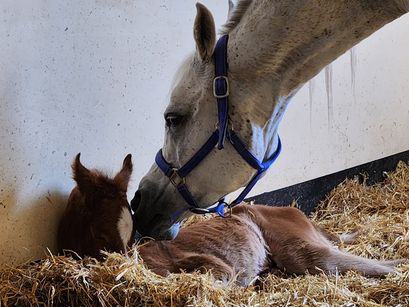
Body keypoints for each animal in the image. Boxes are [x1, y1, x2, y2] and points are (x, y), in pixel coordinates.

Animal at [57, 155, 404, 288]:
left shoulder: (213, 266)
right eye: (100, 235)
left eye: (131, 235)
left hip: (301, 250)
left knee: (371, 264)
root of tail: (291, 211)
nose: (128, 265)